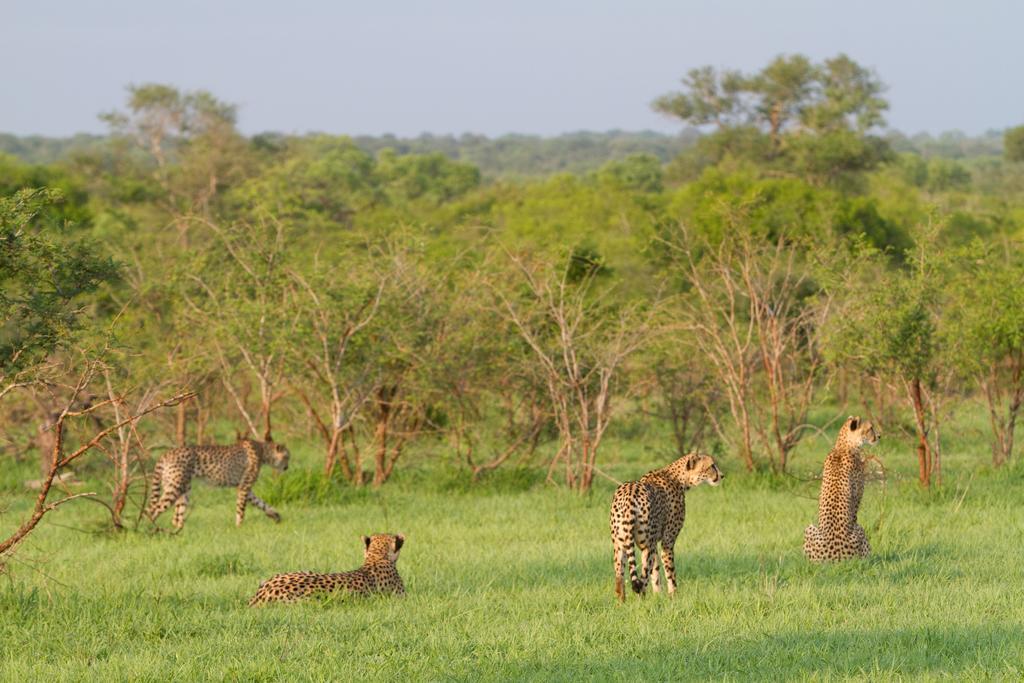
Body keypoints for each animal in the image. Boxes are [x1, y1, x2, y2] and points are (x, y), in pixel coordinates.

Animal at [144, 440, 290, 532]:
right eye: (287, 457)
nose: (287, 467)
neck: (263, 451)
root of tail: (166, 453)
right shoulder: (244, 487)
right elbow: (241, 509)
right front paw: (239, 527)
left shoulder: (244, 488)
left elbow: (261, 503)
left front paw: (275, 515)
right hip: (174, 487)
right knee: (152, 509)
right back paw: (152, 530)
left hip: (183, 488)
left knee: (176, 516)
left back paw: (179, 531)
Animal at [610, 454, 724, 602]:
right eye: (711, 466)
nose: (722, 475)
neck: (679, 478)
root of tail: (629, 492)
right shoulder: (667, 541)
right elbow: (670, 572)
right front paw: (674, 596)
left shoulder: (654, 544)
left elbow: (656, 571)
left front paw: (658, 596)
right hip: (645, 545)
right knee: (642, 578)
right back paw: (641, 600)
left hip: (619, 544)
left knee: (620, 577)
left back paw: (622, 603)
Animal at [798, 413, 880, 565]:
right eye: (870, 428)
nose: (879, 436)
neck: (843, 446)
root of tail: (835, 560)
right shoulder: (857, 499)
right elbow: (854, 514)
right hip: (859, 530)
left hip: (809, 530)